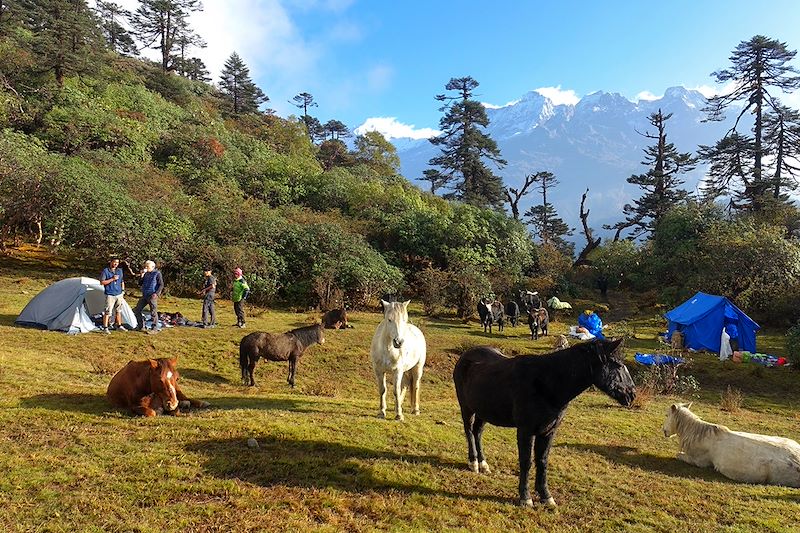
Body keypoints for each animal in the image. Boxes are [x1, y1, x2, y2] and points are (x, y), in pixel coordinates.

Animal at [454, 338, 636, 504]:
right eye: (618, 365)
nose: (632, 394)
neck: (546, 383)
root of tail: (466, 355)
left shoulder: (548, 431)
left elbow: (542, 461)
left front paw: (546, 496)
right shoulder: (525, 431)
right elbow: (526, 462)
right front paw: (525, 498)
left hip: (483, 410)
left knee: (477, 432)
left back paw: (483, 464)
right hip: (466, 408)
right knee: (469, 431)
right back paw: (473, 462)